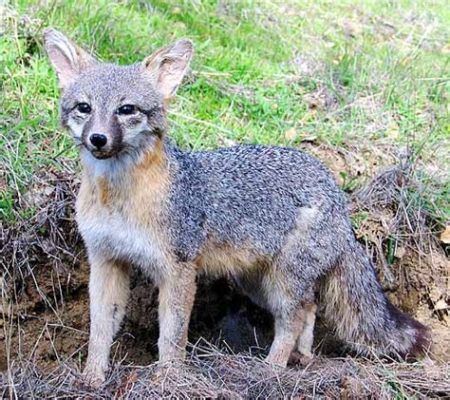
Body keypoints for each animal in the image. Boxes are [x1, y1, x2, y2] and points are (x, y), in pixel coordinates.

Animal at [44, 27, 430, 384]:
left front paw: (169, 379)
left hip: (281, 282)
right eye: (84, 108)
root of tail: (336, 191)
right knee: (309, 307)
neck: (117, 198)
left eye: (126, 110)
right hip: (258, 283)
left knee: (293, 318)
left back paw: (271, 369)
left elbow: (172, 337)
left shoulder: (179, 270)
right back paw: (302, 358)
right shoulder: (106, 260)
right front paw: (92, 378)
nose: (98, 139)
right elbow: (99, 330)